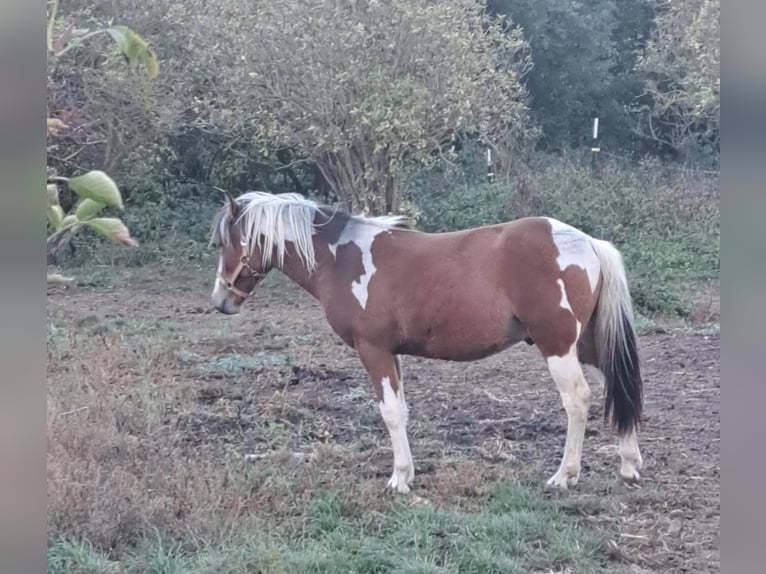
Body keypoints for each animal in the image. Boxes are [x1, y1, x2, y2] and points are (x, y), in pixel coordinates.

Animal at [209, 191, 643, 493]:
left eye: (225, 242)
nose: (220, 301)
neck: (342, 260)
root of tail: (588, 243)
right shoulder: (392, 354)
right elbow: (401, 411)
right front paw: (408, 473)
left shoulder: (373, 351)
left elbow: (389, 414)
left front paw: (399, 479)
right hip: (587, 344)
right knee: (618, 387)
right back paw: (628, 465)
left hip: (557, 346)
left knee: (577, 400)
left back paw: (564, 475)